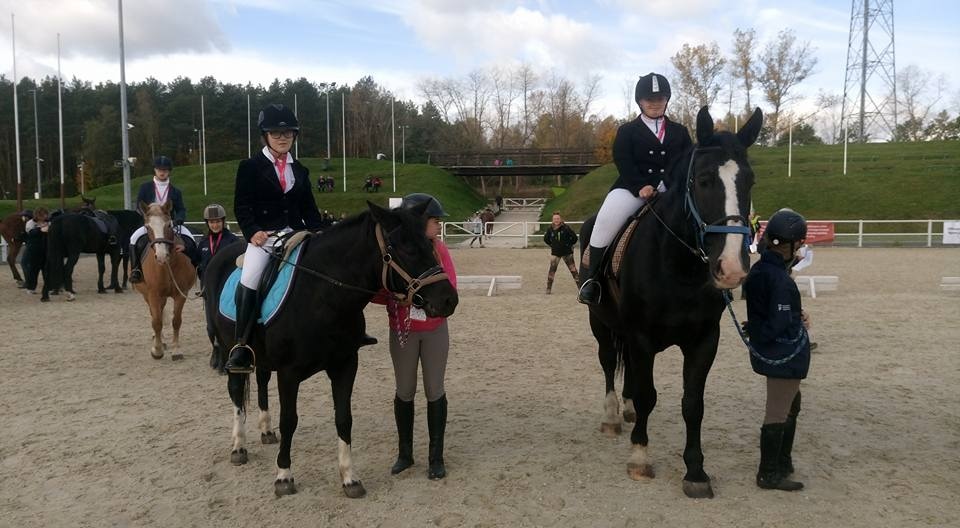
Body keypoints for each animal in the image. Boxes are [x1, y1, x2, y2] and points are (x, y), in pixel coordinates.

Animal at [133, 202, 198, 360]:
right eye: (147, 227)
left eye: (169, 225)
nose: (161, 256)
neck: (167, 266)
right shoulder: (153, 294)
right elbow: (156, 322)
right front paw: (157, 350)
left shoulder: (181, 294)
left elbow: (176, 321)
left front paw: (176, 350)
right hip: (147, 295)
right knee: (154, 314)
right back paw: (160, 341)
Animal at [203, 201, 459, 498]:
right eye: (405, 247)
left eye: (429, 244)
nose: (448, 299)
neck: (322, 294)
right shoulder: (289, 373)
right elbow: (289, 420)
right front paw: (284, 476)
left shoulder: (345, 365)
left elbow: (343, 418)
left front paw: (350, 478)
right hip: (231, 349)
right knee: (235, 392)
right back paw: (239, 447)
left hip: (263, 357)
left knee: (262, 380)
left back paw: (266, 431)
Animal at [581, 106, 763, 499]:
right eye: (704, 180)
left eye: (750, 181)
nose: (731, 268)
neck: (679, 267)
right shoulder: (641, 337)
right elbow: (648, 394)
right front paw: (639, 458)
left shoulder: (704, 340)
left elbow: (692, 403)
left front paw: (695, 471)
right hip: (601, 324)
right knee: (608, 363)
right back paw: (612, 416)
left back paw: (628, 411)